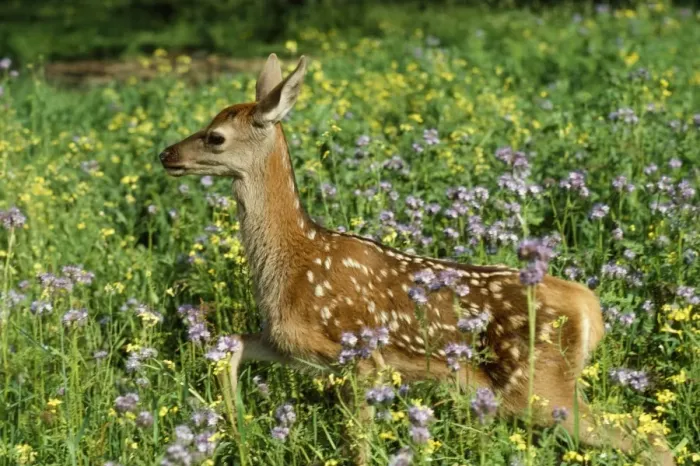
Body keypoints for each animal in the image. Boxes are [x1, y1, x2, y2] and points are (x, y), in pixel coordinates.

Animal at [158, 53, 675, 466]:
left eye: (215, 137)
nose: (166, 154)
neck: (293, 261)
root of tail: (588, 304)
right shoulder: (289, 342)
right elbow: (229, 344)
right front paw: (235, 431)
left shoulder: (359, 353)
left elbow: (358, 443)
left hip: (539, 386)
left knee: (652, 443)